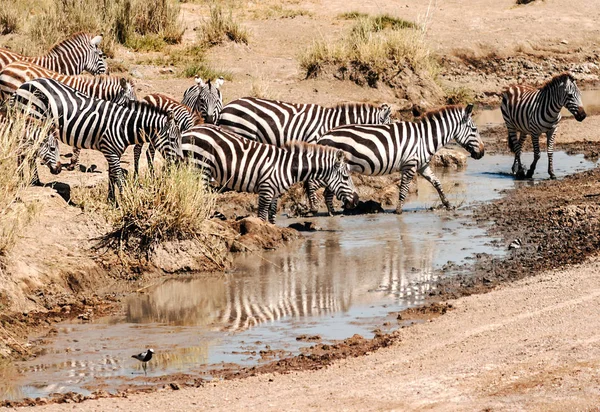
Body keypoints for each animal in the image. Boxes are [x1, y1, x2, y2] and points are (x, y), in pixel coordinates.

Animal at [10, 78, 182, 200]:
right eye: (173, 139)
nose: (181, 161)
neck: (123, 125)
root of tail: (24, 84)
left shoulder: (114, 153)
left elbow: (112, 175)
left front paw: (112, 200)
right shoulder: (110, 151)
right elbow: (119, 177)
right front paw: (126, 201)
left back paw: (31, 180)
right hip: (32, 120)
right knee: (26, 152)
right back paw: (28, 180)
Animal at [178, 124, 356, 224]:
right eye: (346, 177)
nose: (356, 200)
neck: (287, 167)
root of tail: (188, 131)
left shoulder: (275, 193)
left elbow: (272, 217)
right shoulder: (266, 189)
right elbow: (262, 217)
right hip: (200, 168)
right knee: (198, 196)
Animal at [312, 104, 486, 214]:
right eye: (474, 129)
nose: (483, 153)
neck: (424, 138)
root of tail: (324, 135)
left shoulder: (422, 165)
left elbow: (437, 183)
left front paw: (448, 205)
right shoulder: (410, 165)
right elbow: (403, 190)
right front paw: (398, 211)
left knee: (327, 191)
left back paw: (330, 212)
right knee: (315, 186)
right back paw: (316, 209)